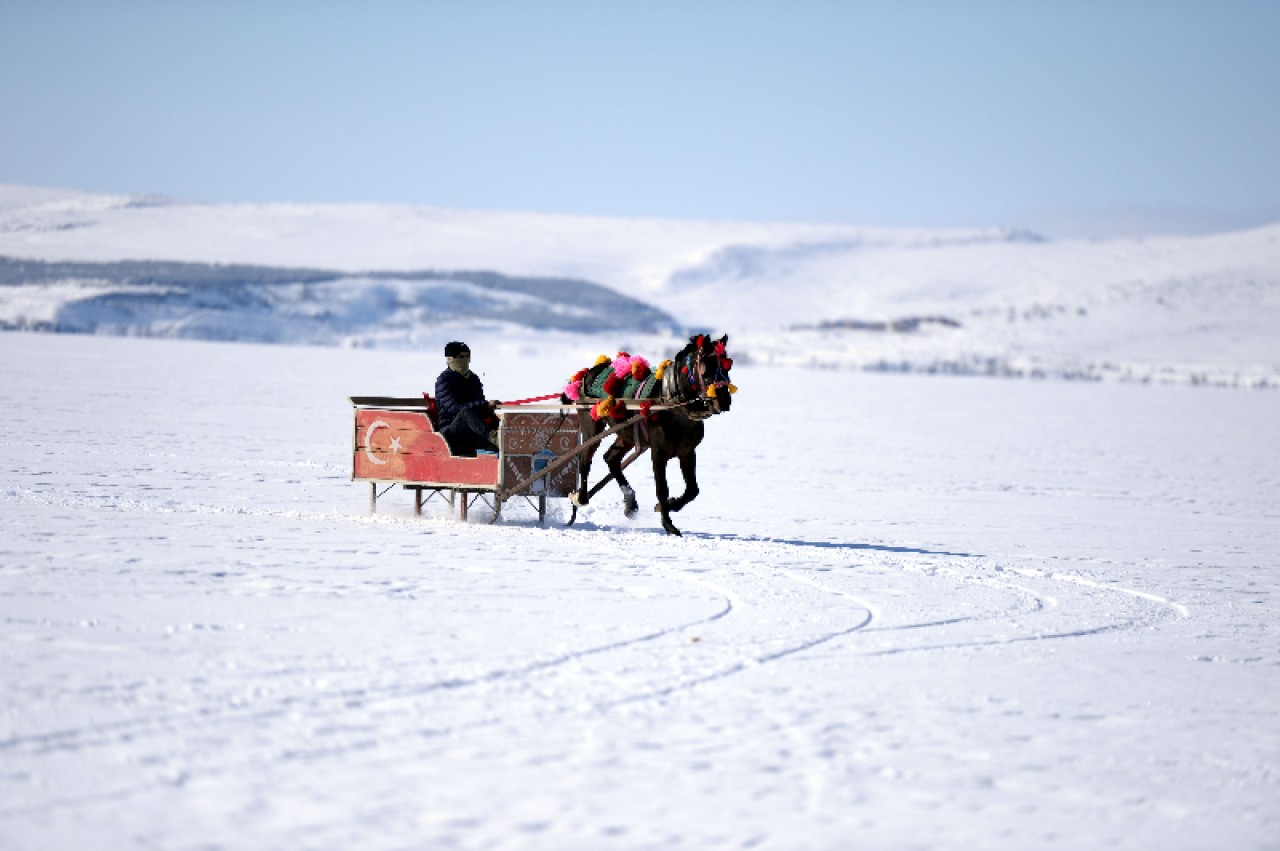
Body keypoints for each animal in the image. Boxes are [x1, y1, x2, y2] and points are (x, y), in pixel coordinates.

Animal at [563, 330, 737, 532]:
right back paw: (581, 497)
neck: (671, 404)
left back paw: (630, 503)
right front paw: (668, 524)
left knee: (611, 458)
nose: (724, 401)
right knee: (585, 459)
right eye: (705, 368)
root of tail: (588, 372)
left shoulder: (686, 451)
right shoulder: (658, 453)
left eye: (727, 366)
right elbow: (662, 488)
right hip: (592, 427)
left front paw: (671, 504)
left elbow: (692, 489)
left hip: (626, 433)